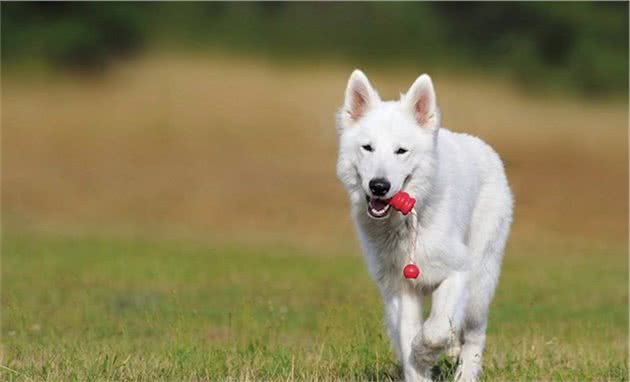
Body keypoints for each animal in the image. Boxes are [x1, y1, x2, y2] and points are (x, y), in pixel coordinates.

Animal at [336, 70, 512, 380]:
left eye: (401, 151)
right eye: (367, 148)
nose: (379, 186)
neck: (406, 222)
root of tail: (485, 148)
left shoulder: (458, 272)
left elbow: (435, 331)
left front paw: (424, 353)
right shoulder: (401, 290)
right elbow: (410, 337)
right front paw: (418, 364)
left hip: (480, 283)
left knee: (474, 334)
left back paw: (465, 373)